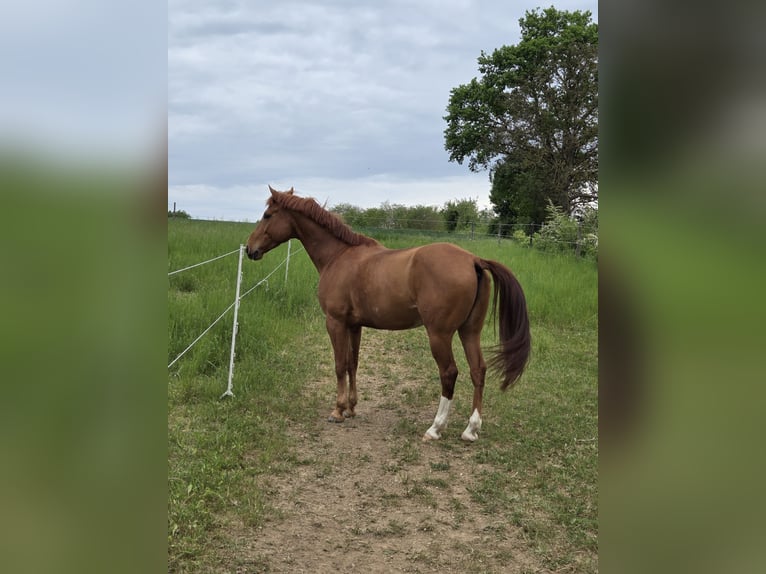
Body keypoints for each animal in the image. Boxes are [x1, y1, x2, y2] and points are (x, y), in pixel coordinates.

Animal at [246, 186, 531, 442]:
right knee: (478, 371)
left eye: (268, 215)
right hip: (469, 331)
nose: (250, 249)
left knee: (449, 373)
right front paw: (351, 407)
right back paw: (471, 430)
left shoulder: (335, 323)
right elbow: (352, 363)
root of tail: (473, 260)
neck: (339, 256)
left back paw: (435, 428)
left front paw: (337, 410)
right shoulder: (354, 325)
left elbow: (339, 365)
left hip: (439, 335)